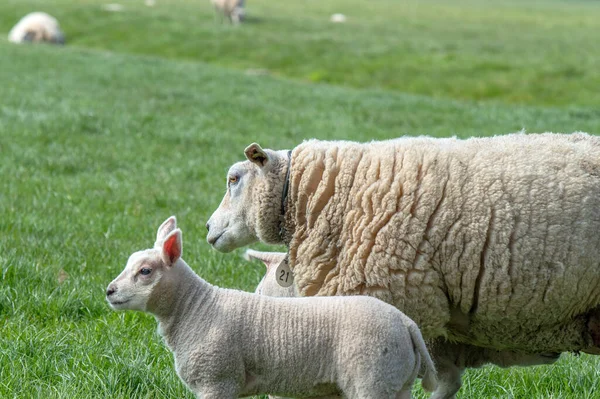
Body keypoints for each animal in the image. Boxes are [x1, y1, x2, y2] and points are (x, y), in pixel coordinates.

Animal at [106, 219, 436, 399]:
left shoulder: (217, 381)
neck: (196, 309)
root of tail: (406, 324)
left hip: (372, 379)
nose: (109, 291)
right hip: (397, 383)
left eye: (145, 271)